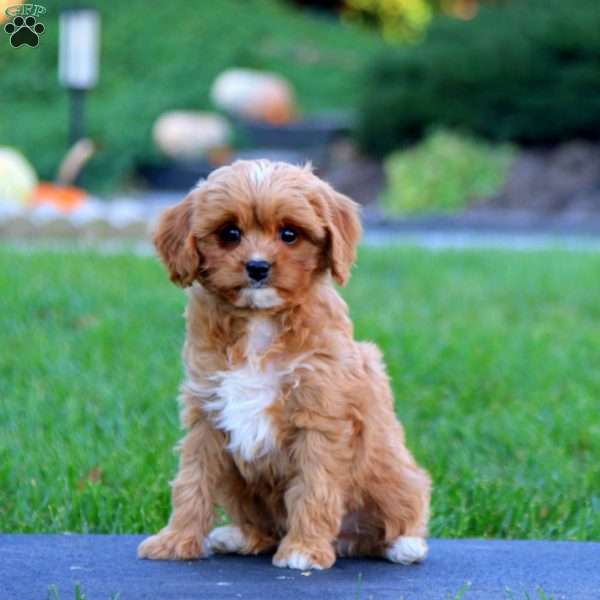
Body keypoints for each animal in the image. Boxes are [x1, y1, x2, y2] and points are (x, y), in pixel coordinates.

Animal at [138, 161, 428, 572]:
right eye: (230, 233)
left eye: (290, 234)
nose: (258, 267)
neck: (260, 321)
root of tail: (347, 541)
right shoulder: (206, 414)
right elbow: (192, 481)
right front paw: (177, 540)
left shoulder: (320, 416)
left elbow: (314, 486)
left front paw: (304, 549)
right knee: (262, 525)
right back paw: (240, 536)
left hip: (395, 474)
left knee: (399, 516)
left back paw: (405, 545)